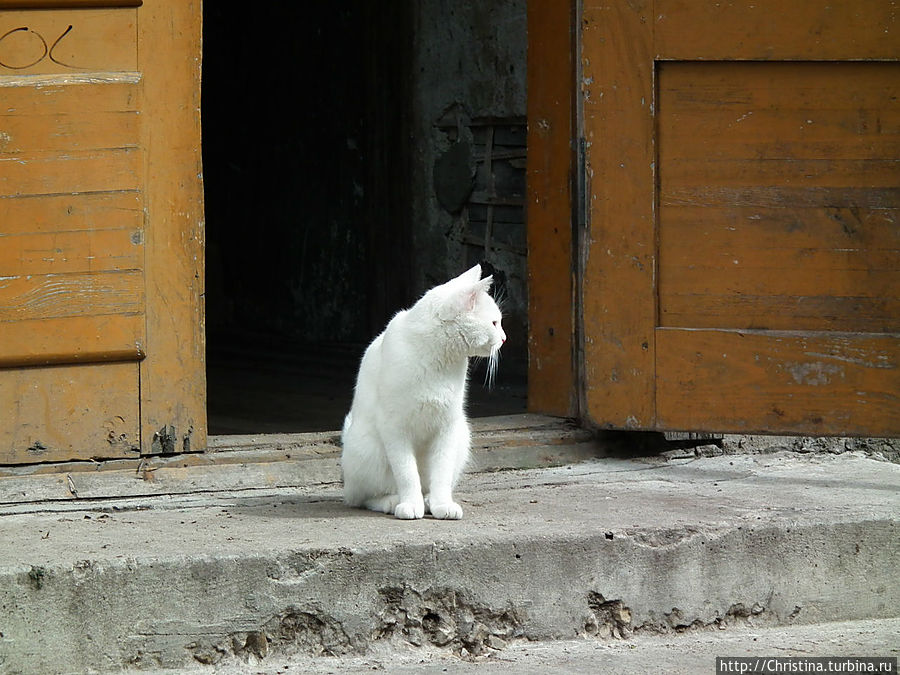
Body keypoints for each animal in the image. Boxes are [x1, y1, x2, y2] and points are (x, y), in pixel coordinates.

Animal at [342, 262, 506, 520]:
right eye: (494, 323)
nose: (504, 338)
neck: (440, 357)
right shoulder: (395, 428)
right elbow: (407, 474)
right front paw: (410, 504)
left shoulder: (447, 426)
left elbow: (441, 472)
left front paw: (441, 504)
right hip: (367, 449)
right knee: (362, 497)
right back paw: (392, 501)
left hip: (462, 435)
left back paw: (428, 499)